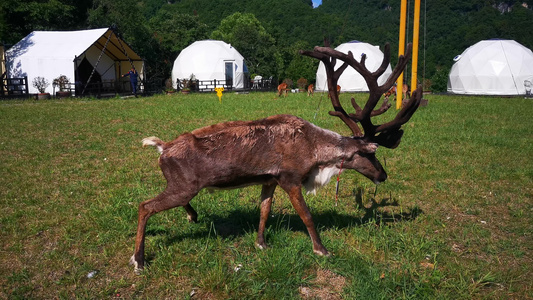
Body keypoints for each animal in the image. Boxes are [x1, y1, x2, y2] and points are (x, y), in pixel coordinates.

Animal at [129, 42, 420, 274]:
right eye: (371, 152)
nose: (383, 174)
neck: (315, 154)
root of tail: (162, 148)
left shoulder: (269, 178)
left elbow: (264, 211)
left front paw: (261, 243)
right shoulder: (290, 177)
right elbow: (307, 216)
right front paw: (322, 249)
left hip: (183, 186)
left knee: (172, 204)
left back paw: (193, 216)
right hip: (184, 185)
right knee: (145, 206)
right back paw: (139, 260)